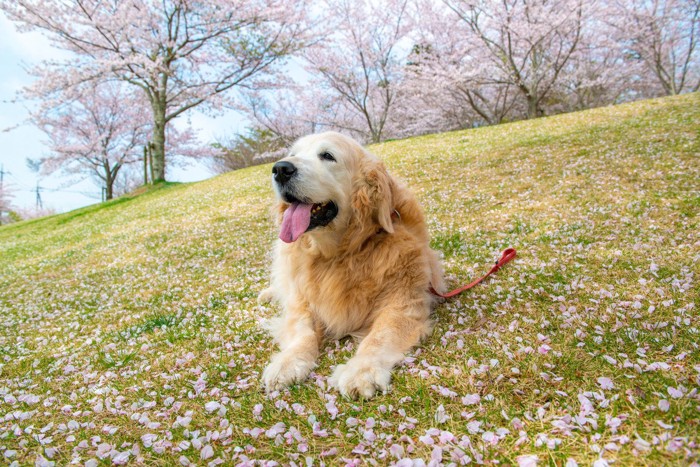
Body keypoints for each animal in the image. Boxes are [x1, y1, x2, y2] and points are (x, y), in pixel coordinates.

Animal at [258, 132, 442, 398]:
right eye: (293, 154)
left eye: (327, 155)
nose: (281, 169)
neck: (338, 255)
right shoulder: (301, 301)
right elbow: (302, 332)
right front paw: (287, 362)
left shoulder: (402, 303)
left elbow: (378, 337)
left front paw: (361, 370)